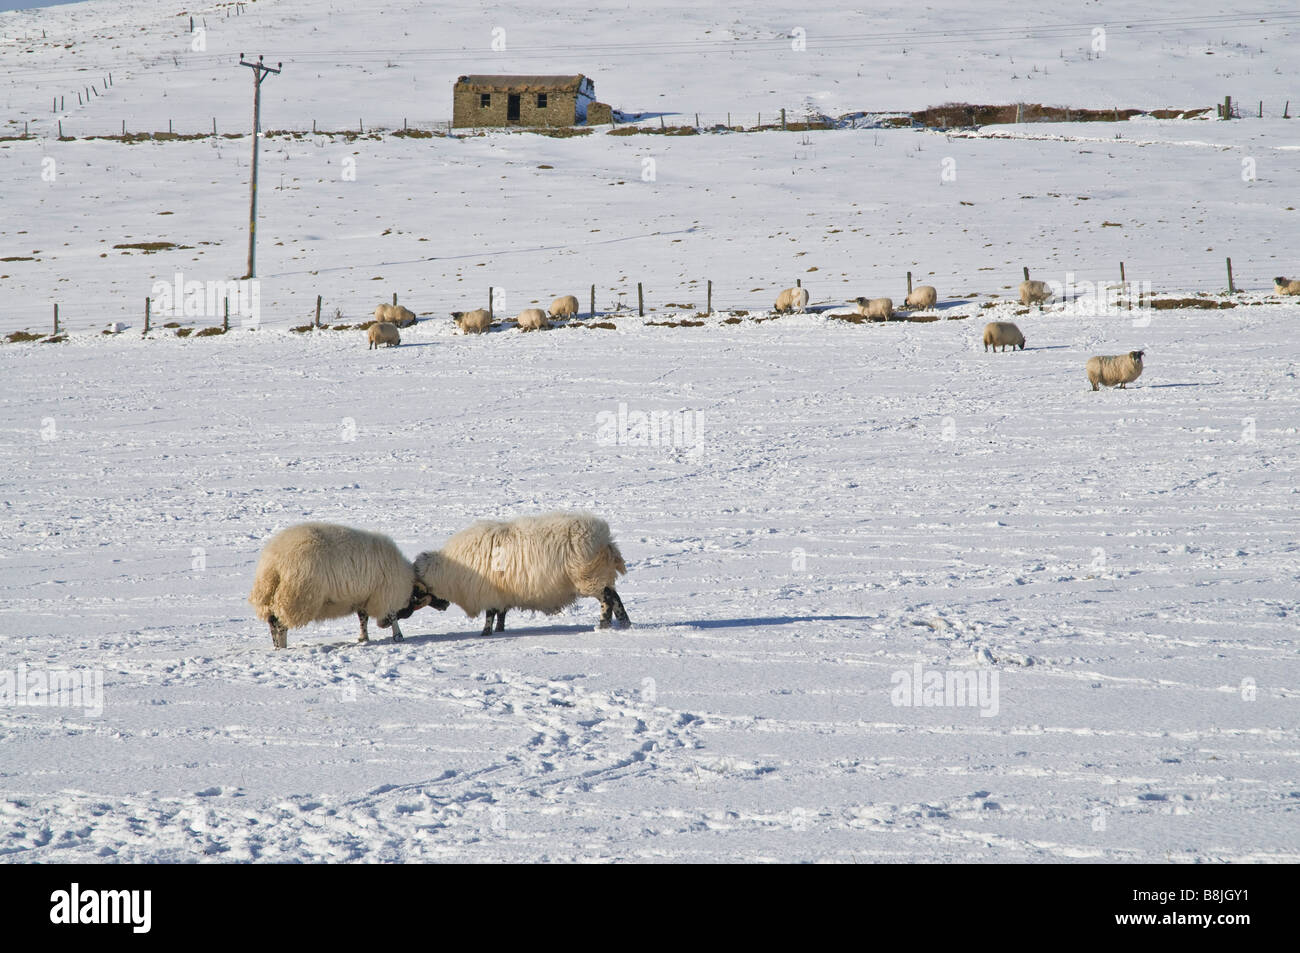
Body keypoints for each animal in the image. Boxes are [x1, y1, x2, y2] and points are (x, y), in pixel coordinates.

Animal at [246, 520, 447, 647]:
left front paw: (363, 638)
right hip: (295, 596)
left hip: (272, 597)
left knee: (272, 622)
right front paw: (398, 637)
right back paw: (283, 647)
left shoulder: (364, 596)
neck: (406, 580)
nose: (445, 605)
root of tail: (272, 564)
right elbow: (392, 618)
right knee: (280, 624)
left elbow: (362, 619)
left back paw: (276, 646)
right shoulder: (385, 594)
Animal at [408, 509, 626, 634]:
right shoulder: (501, 591)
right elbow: (500, 613)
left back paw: (603, 625)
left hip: (589, 577)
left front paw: (486, 633)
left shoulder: (488, 592)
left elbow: (490, 614)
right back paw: (625, 624)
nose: (444, 606)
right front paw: (500, 630)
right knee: (615, 597)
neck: (450, 571)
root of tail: (605, 539)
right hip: (599, 575)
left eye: (419, 590)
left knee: (607, 598)